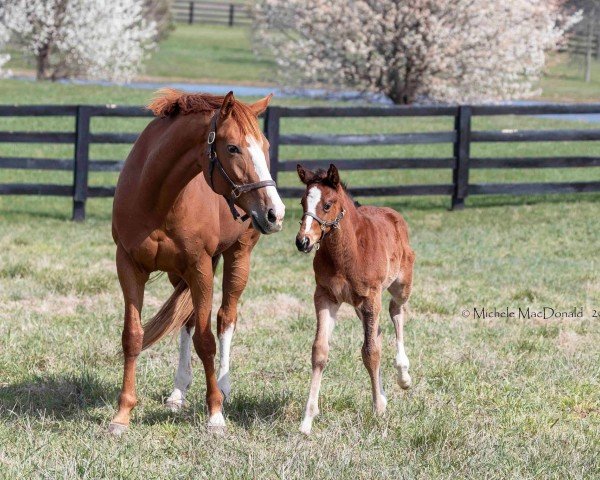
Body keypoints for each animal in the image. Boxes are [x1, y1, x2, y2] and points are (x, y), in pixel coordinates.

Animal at [294, 164, 412, 436]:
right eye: (303, 202)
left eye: (327, 204)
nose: (303, 241)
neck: (347, 252)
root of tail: (392, 213)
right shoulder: (325, 296)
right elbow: (320, 351)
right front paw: (307, 420)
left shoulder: (370, 297)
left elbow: (370, 352)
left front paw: (377, 409)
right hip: (359, 305)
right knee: (378, 330)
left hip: (400, 286)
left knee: (396, 312)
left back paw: (403, 375)